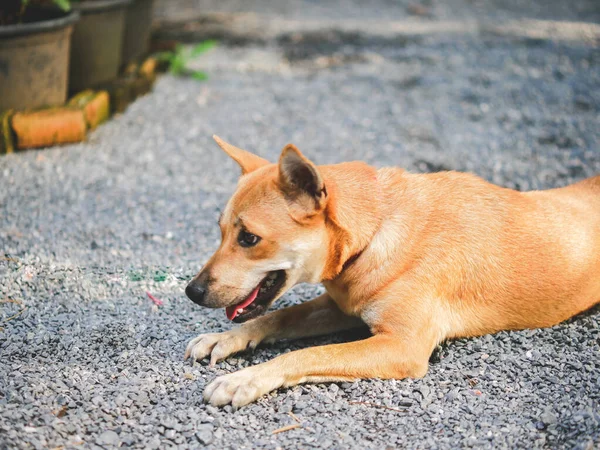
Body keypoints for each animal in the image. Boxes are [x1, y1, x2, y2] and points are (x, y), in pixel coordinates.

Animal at [184, 134, 600, 408]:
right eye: (220, 230)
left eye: (249, 238)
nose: (192, 291)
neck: (376, 228)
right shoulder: (342, 307)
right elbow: (276, 318)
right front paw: (226, 338)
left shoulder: (401, 346)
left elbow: (308, 354)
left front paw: (246, 379)